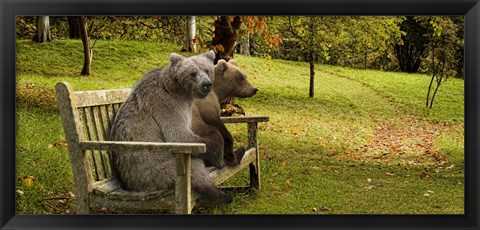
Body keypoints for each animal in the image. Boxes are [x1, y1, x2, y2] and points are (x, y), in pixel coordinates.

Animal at [108, 50, 232, 203]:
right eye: (193, 73)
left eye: (207, 70)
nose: (206, 85)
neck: (181, 92)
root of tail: (130, 186)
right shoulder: (167, 104)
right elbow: (179, 135)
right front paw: (220, 156)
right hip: (152, 165)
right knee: (194, 167)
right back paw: (220, 195)